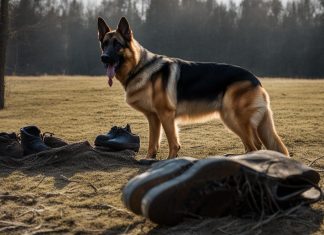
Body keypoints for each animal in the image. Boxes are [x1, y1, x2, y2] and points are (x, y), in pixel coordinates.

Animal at [96, 17, 288, 159]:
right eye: (104, 44)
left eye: (117, 44)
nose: (104, 58)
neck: (139, 67)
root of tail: (256, 80)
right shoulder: (154, 117)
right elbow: (153, 142)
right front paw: (150, 160)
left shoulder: (166, 115)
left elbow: (173, 143)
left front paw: (169, 162)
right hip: (231, 119)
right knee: (252, 145)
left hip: (236, 118)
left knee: (256, 145)